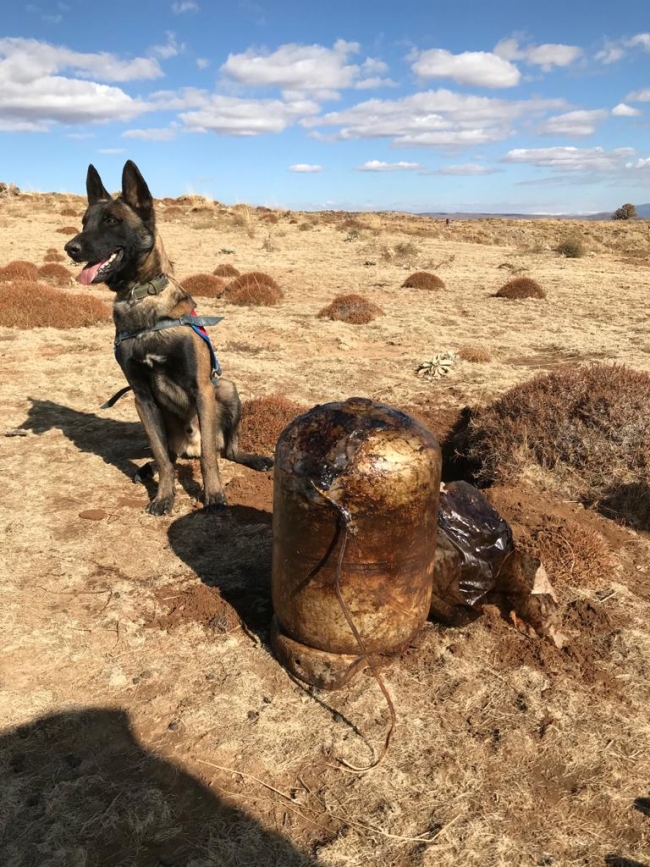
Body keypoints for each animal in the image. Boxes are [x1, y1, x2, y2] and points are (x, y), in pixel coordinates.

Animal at [67, 161, 274, 516]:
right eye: (84, 222)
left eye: (112, 221)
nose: (70, 248)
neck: (140, 298)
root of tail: (188, 447)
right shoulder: (142, 398)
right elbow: (163, 458)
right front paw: (164, 496)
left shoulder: (202, 389)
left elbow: (209, 459)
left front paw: (214, 495)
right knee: (171, 456)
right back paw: (148, 468)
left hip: (227, 389)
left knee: (226, 450)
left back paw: (253, 459)